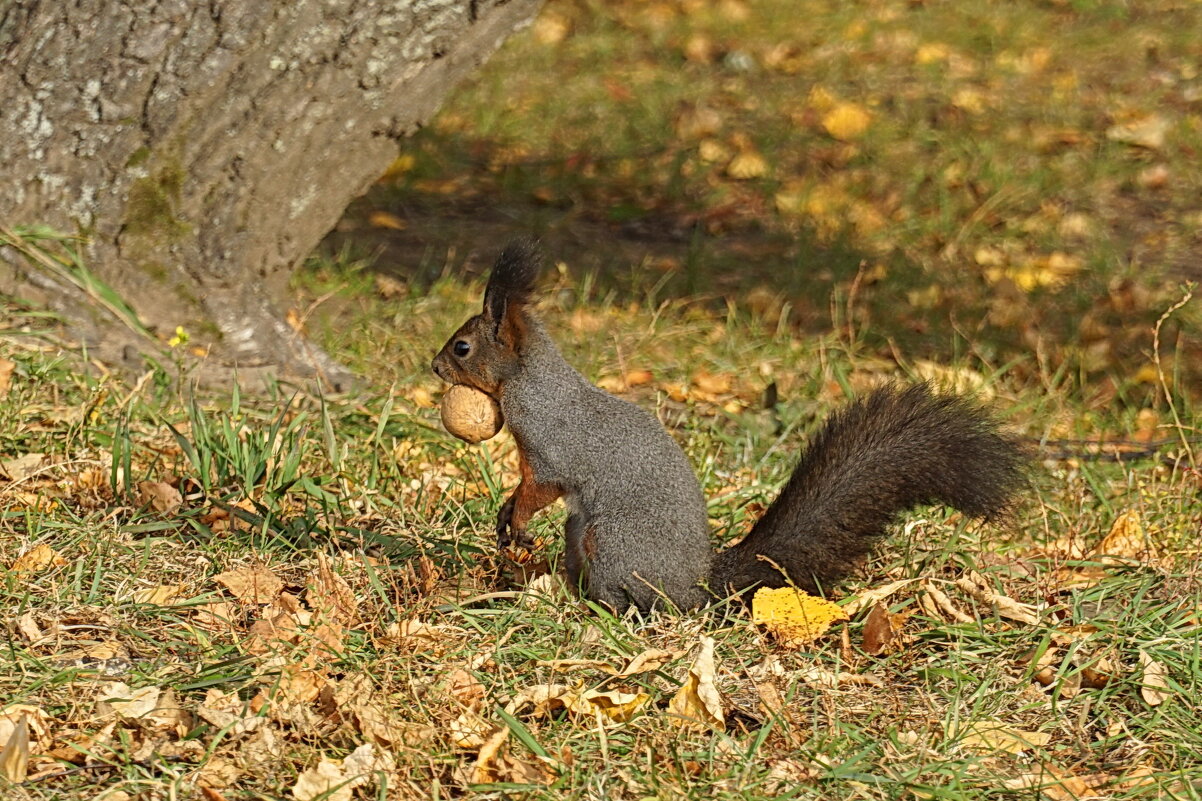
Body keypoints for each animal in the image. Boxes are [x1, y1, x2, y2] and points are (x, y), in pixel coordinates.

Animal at [432, 236, 1024, 610]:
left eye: (462, 347)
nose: (434, 366)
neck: (530, 383)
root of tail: (697, 587)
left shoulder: (551, 448)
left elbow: (540, 487)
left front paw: (517, 519)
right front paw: (505, 514)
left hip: (613, 542)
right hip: (584, 533)